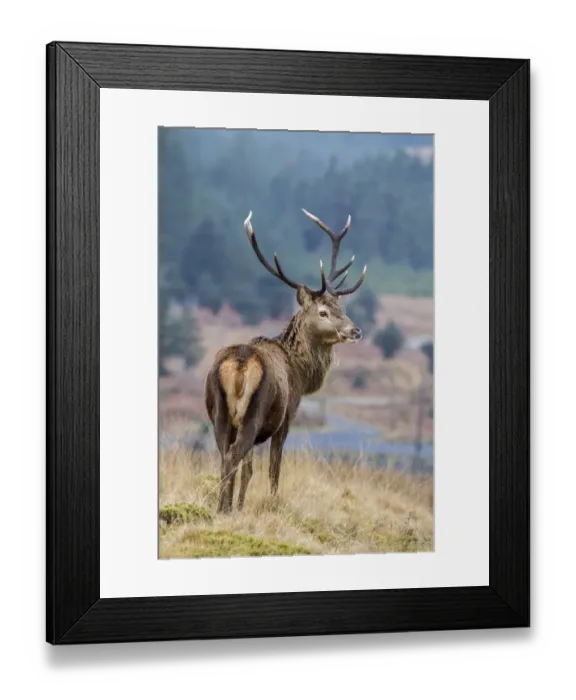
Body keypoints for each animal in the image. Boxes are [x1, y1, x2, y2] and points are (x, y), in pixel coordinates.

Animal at [204, 208, 367, 514]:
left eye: (342, 308)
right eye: (324, 312)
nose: (356, 331)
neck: (300, 375)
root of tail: (240, 363)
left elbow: (249, 470)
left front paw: (241, 507)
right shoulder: (287, 416)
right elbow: (273, 469)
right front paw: (271, 504)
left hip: (220, 413)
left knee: (224, 457)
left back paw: (223, 508)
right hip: (254, 413)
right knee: (232, 457)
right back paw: (224, 510)